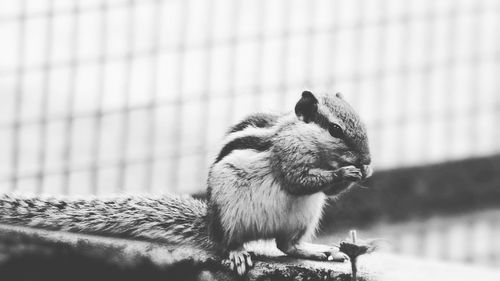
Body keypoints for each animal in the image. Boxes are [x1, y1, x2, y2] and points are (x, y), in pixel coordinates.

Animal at [0, 91, 372, 274]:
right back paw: (237, 253)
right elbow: (297, 180)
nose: (367, 160)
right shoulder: (286, 155)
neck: (303, 137)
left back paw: (317, 250)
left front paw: (359, 173)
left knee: (286, 245)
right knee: (229, 245)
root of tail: (211, 224)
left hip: (303, 217)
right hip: (232, 215)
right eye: (336, 129)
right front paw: (346, 173)